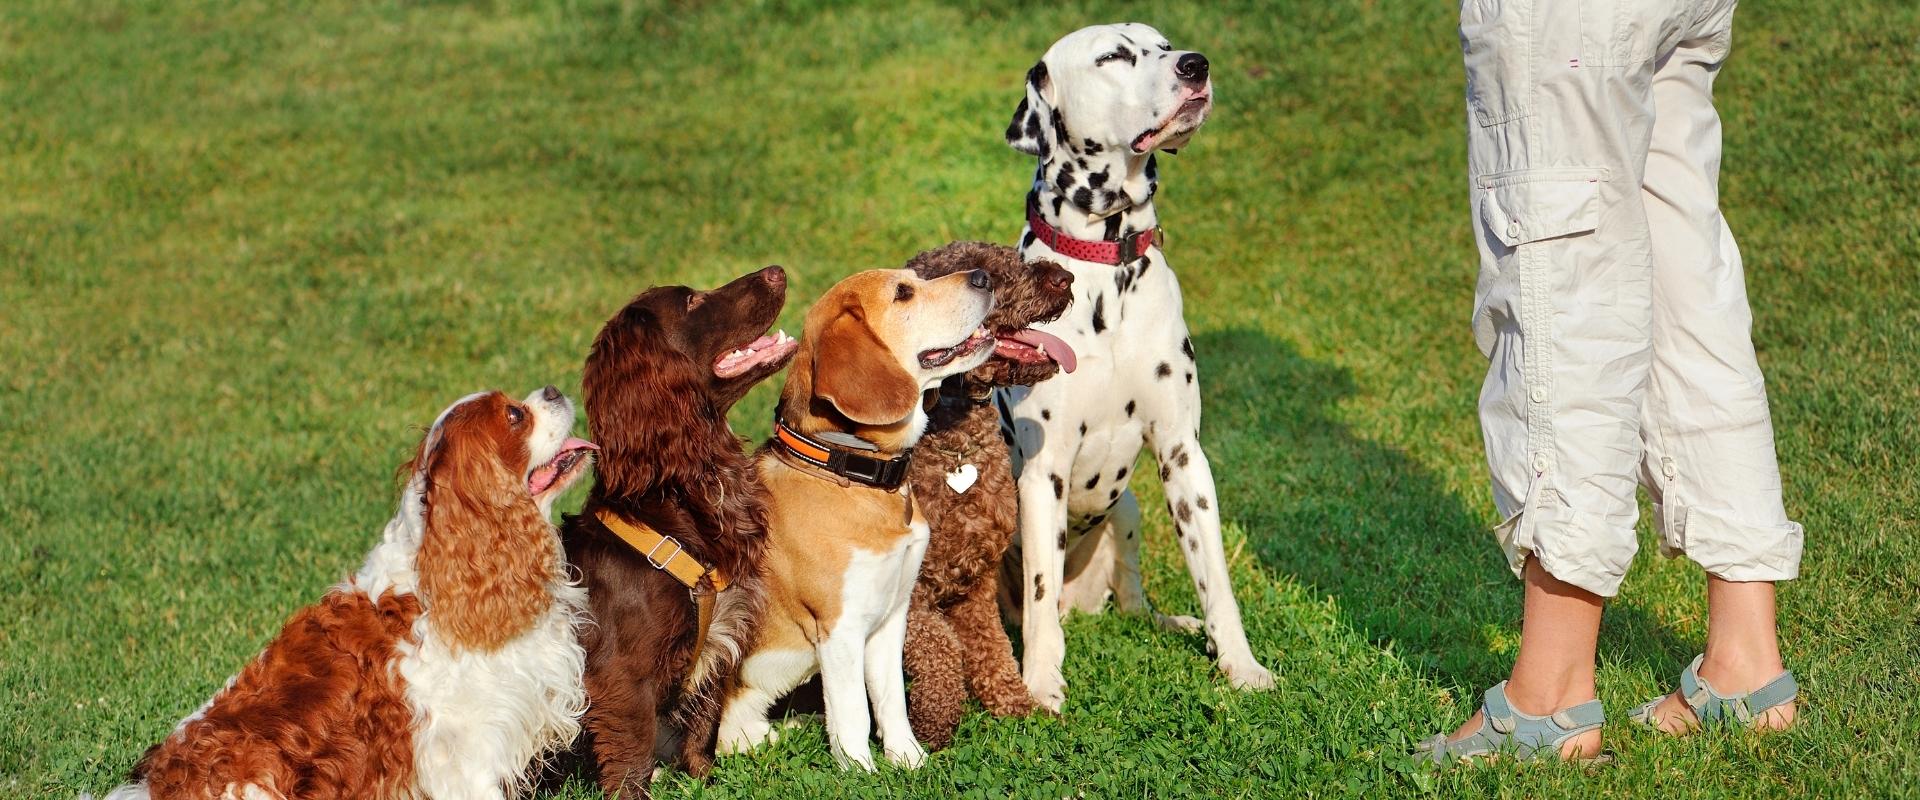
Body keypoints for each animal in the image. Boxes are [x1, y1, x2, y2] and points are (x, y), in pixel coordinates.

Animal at [560, 264, 798, 794]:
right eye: (692, 301)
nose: (777, 271)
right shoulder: (621, 677)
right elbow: (632, 759)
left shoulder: (718, 641)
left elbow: (701, 725)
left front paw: (706, 782)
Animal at [902, 239, 1075, 744]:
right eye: (984, 275)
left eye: (1012, 257)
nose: (1065, 278)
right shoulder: (910, 595)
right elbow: (940, 646)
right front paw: (936, 721)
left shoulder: (976, 582)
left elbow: (991, 645)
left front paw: (1017, 704)